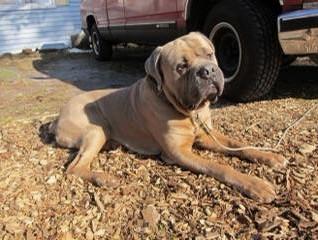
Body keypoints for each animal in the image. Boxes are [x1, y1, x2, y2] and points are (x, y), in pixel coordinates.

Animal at [51, 32, 286, 202]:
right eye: (181, 67)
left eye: (209, 54)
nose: (208, 71)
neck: (190, 112)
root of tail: (57, 117)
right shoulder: (178, 152)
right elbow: (220, 167)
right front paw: (255, 185)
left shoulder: (206, 134)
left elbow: (237, 144)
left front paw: (269, 156)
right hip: (96, 129)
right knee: (74, 168)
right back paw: (104, 178)